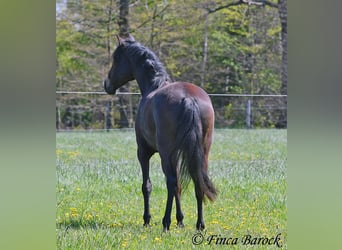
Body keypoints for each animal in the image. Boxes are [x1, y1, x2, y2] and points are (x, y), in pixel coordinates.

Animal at [103, 34, 218, 230]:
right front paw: (181, 220)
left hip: (166, 153)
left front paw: (147, 219)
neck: (154, 85)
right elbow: (179, 184)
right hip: (202, 151)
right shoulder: (179, 154)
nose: (107, 84)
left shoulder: (143, 152)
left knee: (171, 182)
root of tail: (188, 98)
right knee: (197, 181)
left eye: (116, 58)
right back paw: (199, 224)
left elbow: (147, 185)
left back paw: (165, 222)